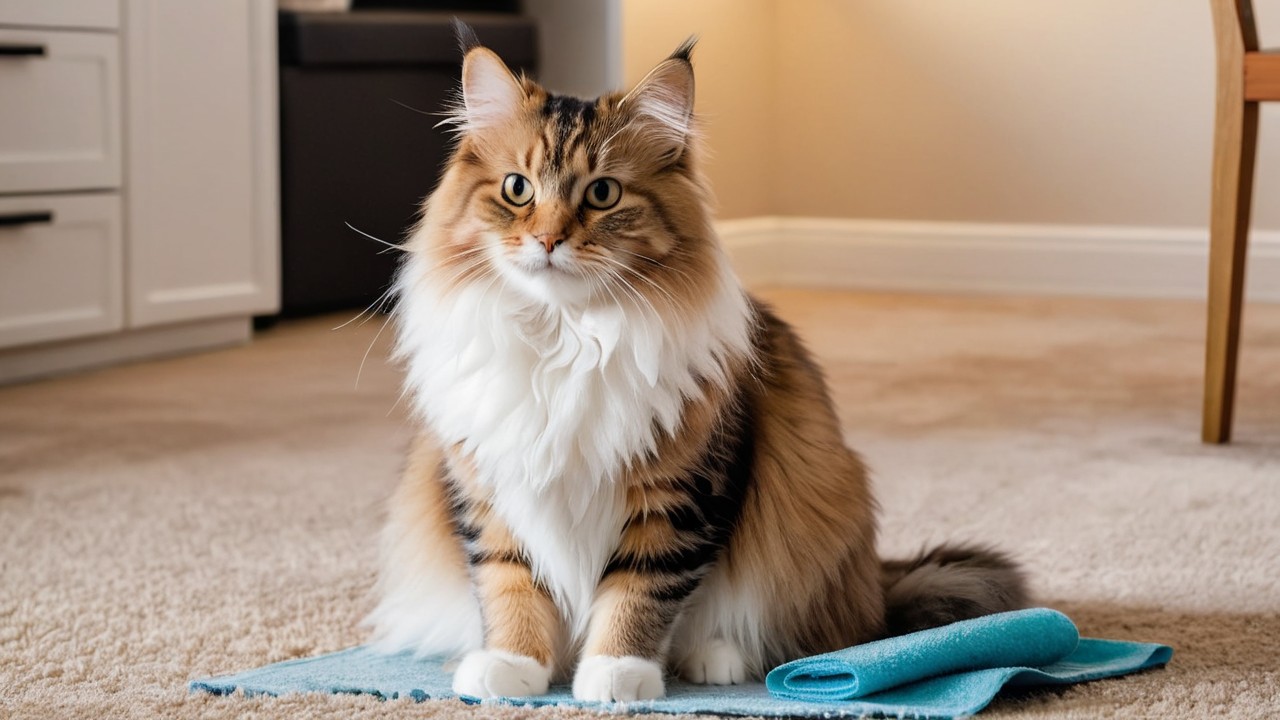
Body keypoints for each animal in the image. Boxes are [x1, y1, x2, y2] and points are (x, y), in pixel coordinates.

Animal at [366, 29, 1024, 702]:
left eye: (602, 193)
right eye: (517, 189)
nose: (548, 241)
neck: (564, 337)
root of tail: (875, 580)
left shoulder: (679, 494)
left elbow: (640, 591)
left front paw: (615, 673)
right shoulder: (489, 490)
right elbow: (510, 582)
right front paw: (514, 666)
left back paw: (716, 657)